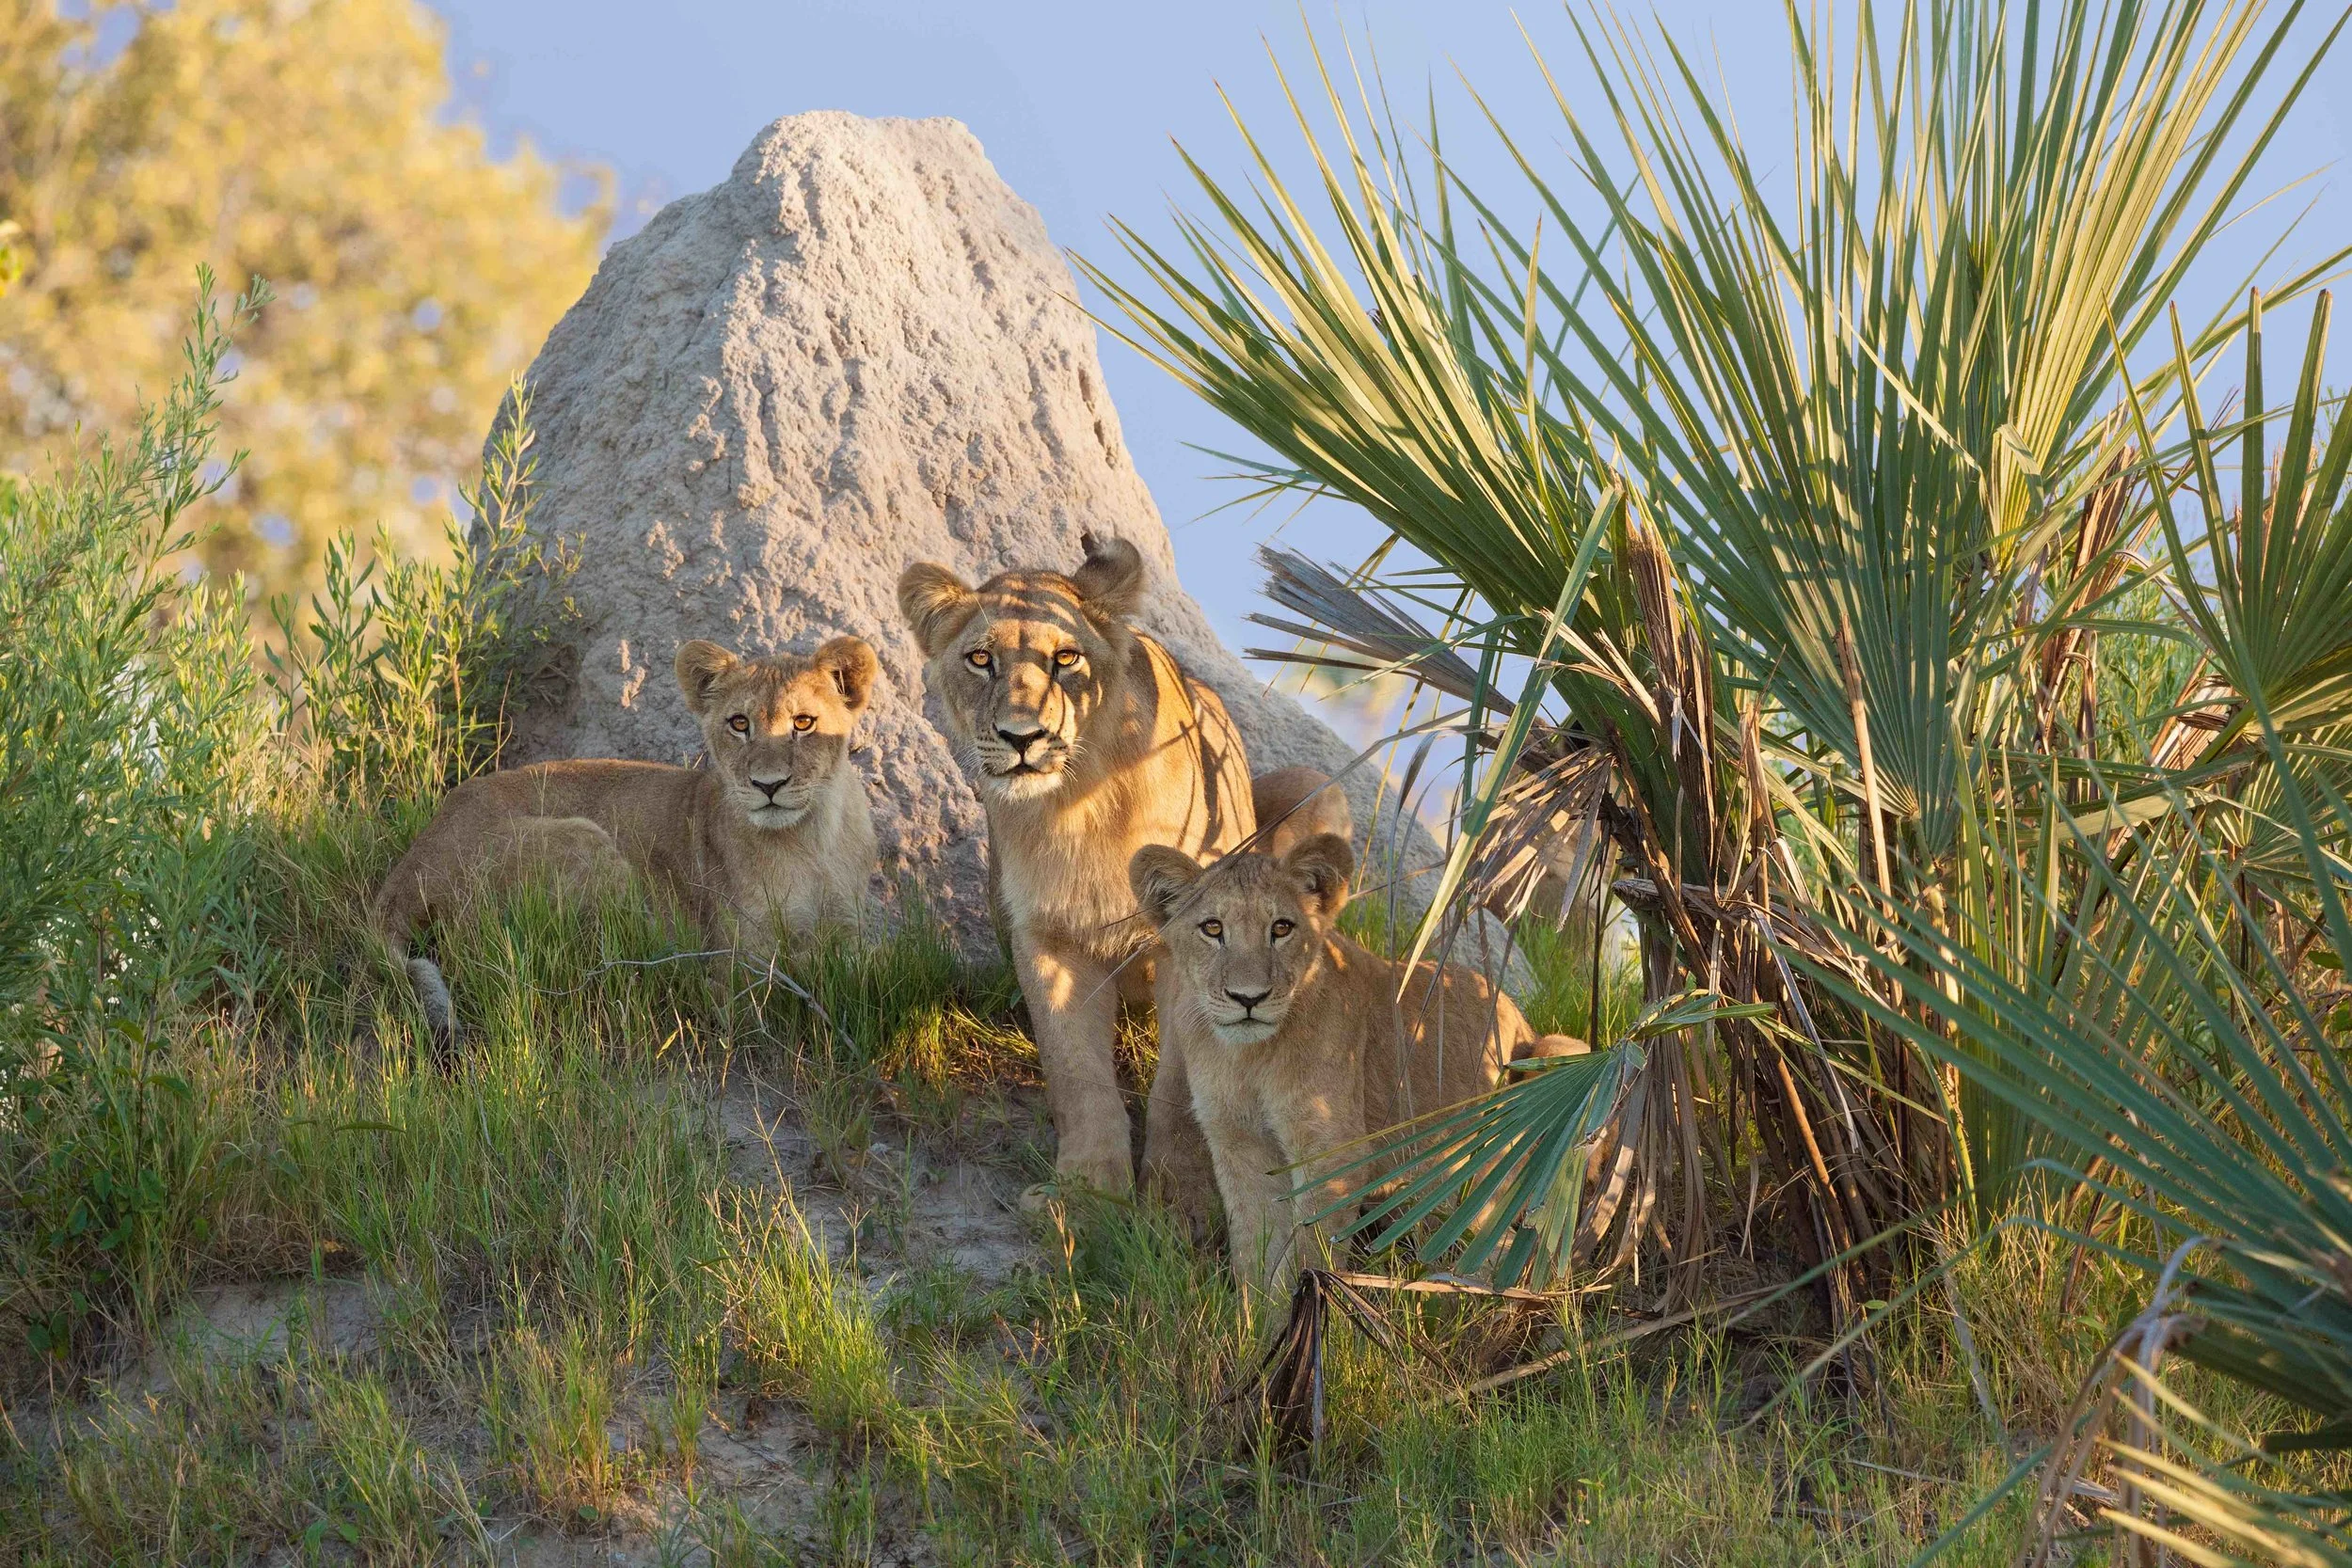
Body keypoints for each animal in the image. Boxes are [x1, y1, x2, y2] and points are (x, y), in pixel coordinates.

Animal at [371, 635, 880, 1049]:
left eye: (804, 722)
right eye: (739, 724)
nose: (767, 785)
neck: (808, 841)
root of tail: (408, 866)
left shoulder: (851, 930)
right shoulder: (738, 960)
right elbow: (774, 989)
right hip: (586, 843)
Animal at [897, 532, 1257, 1194]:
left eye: (1066, 659)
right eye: (981, 659)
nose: (1021, 738)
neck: (1078, 803)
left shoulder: (1189, 940)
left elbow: (1179, 1086)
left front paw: (1178, 1195)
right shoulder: (1046, 935)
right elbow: (1076, 1074)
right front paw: (1087, 1193)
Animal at [1130, 833, 1587, 1296]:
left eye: (1281, 928)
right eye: (1212, 928)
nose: (1248, 998)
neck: (1248, 1060)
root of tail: (1521, 1021)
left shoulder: (1332, 1153)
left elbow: (1303, 1257)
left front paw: (1292, 1310)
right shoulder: (1237, 1144)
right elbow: (1252, 1248)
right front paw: (1253, 1314)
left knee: (1518, 1243)